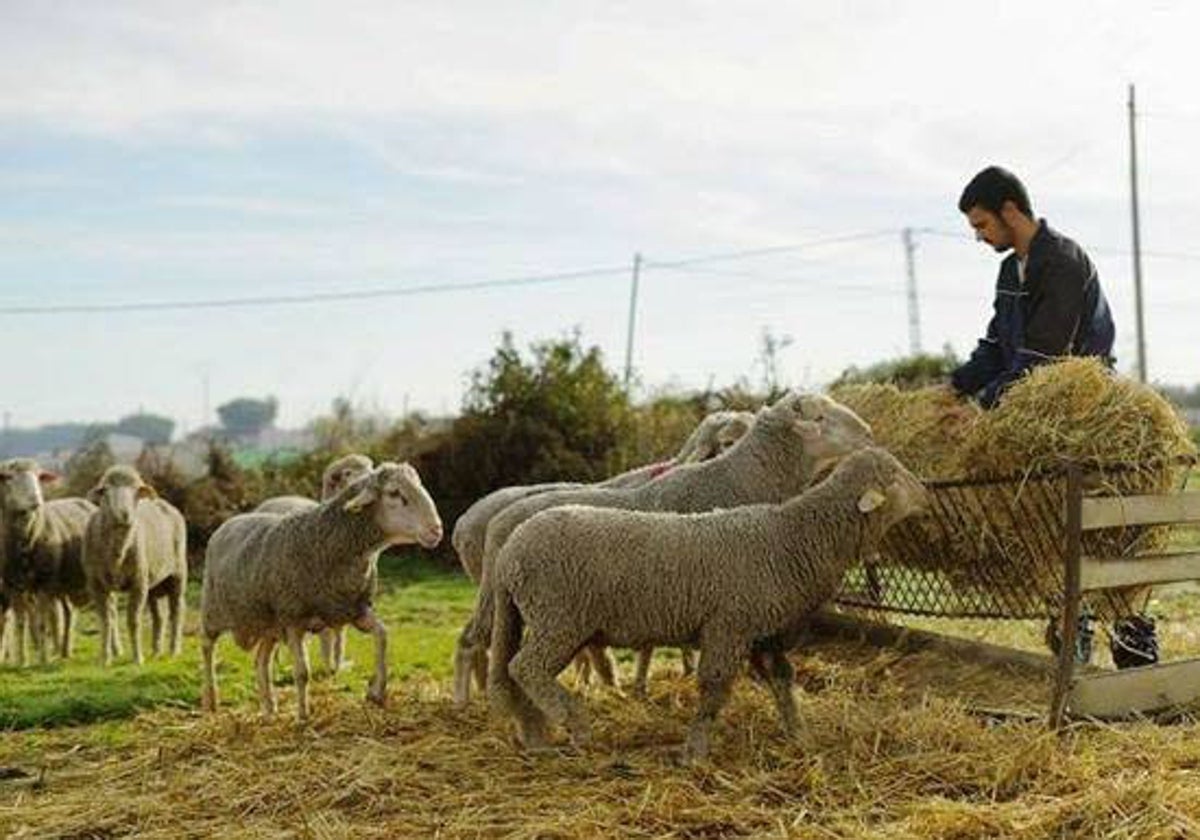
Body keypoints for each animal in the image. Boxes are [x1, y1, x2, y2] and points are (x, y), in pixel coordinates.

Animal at [80, 463, 187, 667]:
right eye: (105, 491)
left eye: (136, 491)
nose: (123, 514)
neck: (117, 552)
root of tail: (163, 503)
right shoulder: (96, 584)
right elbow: (105, 621)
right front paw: (105, 659)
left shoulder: (138, 582)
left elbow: (133, 620)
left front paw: (137, 659)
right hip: (152, 583)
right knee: (159, 616)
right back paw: (156, 650)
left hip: (177, 573)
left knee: (176, 611)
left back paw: (174, 650)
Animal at [451, 393, 873, 700]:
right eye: (820, 418)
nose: (869, 433)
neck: (732, 479)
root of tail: (477, 522)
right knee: (475, 642)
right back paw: (468, 700)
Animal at [487, 446, 926, 763]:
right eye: (893, 475)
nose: (925, 488)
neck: (794, 538)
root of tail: (509, 552)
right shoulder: (728, 626)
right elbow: (713, 689)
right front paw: (695, 752)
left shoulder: (762, 631)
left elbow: (783, 681)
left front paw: (800, 735)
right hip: (558, 617)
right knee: (526, 668)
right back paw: (576, 724)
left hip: (546, 619)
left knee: (514, 673)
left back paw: (536, 737)